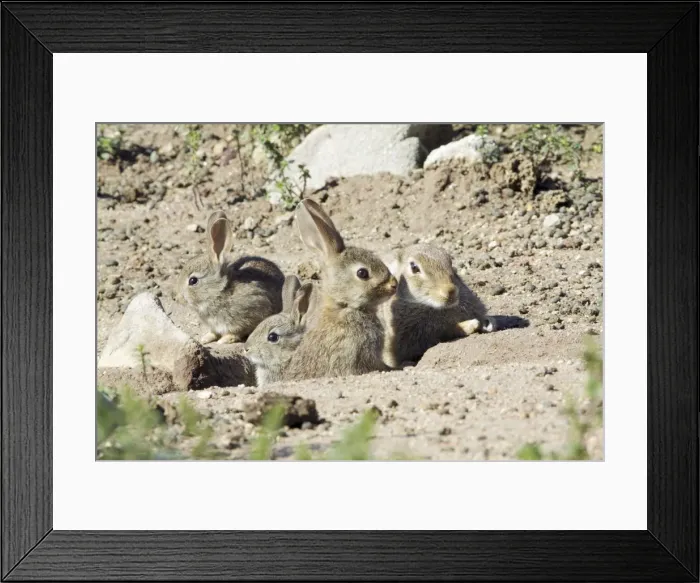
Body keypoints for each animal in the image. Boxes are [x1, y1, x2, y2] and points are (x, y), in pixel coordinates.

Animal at [176, 210, 285, 344]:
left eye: (193, 280)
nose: (178, 298)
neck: (219, 291)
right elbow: (213, 332)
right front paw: (206, 338)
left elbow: (236, 331)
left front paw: (225, 340)